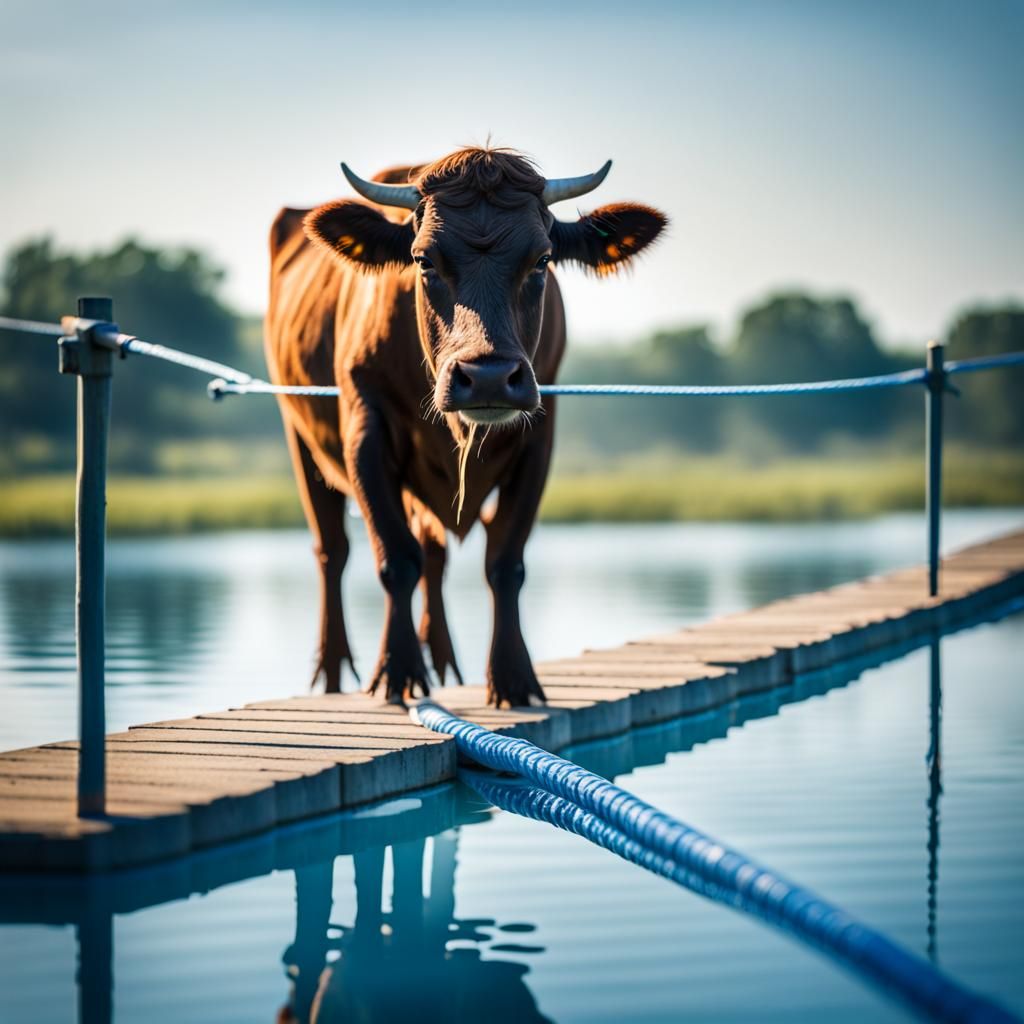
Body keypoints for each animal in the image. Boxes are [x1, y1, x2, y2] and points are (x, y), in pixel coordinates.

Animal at [265, 147, 666, 707]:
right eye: (423, 260)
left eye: (542, 260)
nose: (489, 376)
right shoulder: (364, 432)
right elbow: (396, 558)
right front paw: (397, 672)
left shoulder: (539, 441)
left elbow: (504, 561)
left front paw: (513, 678)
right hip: (300, 438)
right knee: (333, 550)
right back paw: (333, 671)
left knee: (433, 550)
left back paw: (442, 657)